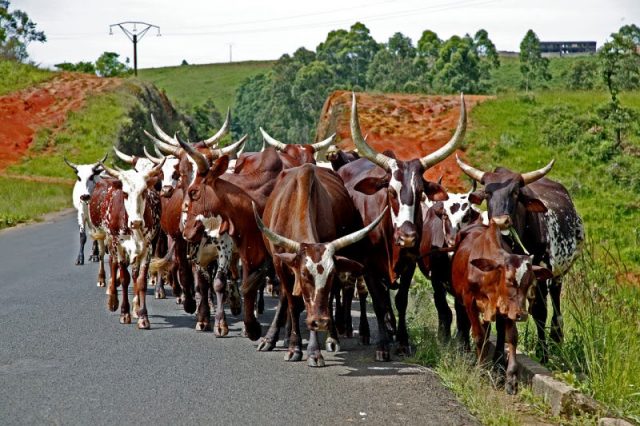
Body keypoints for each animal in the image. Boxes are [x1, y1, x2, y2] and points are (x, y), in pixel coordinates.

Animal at [450, 221, 552, 394]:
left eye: (530, 282)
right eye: (510, 279)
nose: (523, 315)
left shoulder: (508, 309)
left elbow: (511, 337)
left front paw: (511, 379)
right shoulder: (469, 301)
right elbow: (478, 336)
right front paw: (480, 370)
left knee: (492, 331)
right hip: (460, 300)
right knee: (465, 324)